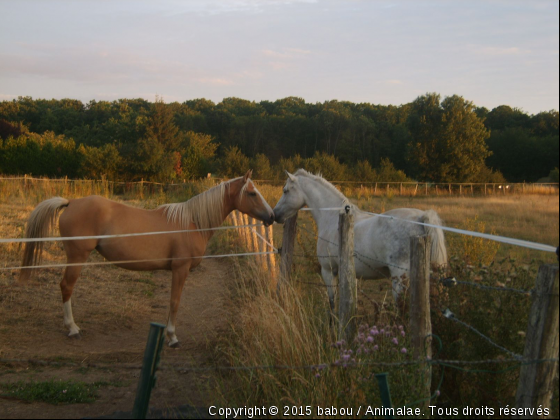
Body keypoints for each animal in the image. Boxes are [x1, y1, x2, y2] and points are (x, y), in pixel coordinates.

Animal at [20, 169, 274, 346]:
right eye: (252, 193)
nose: (272, 216)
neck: (192, 222)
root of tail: (71, 202)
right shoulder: (180, 269)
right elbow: (174, 302)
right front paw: (172, 337)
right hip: (77, 256)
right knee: (66, 286)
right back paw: (73, 328)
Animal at [274, 168, 448, 308]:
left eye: (285, 191)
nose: (275, 214)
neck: (332, 217)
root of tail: (422, 217)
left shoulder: (328, 271)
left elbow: (332, 304)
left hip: (400, 279)